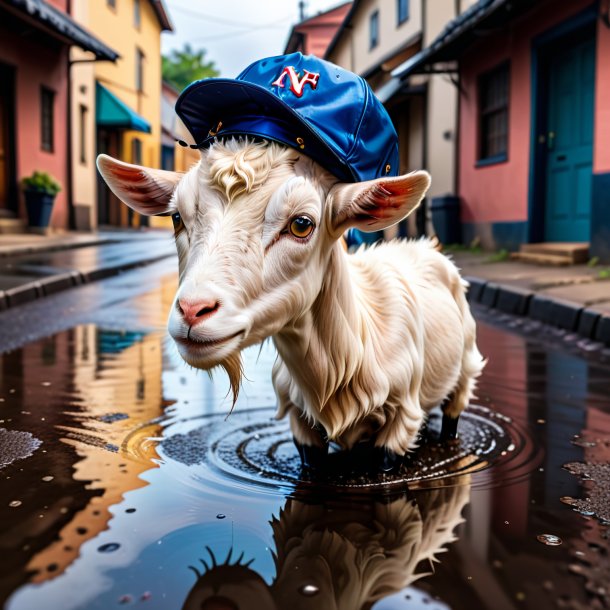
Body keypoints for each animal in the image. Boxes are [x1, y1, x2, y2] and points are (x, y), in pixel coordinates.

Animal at [97, 139, 482, 470]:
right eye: (177, 217)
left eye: (301, 224)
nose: (193, 310)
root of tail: (425, 245)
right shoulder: (301, 423)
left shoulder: (400, 421)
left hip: (465, 365)